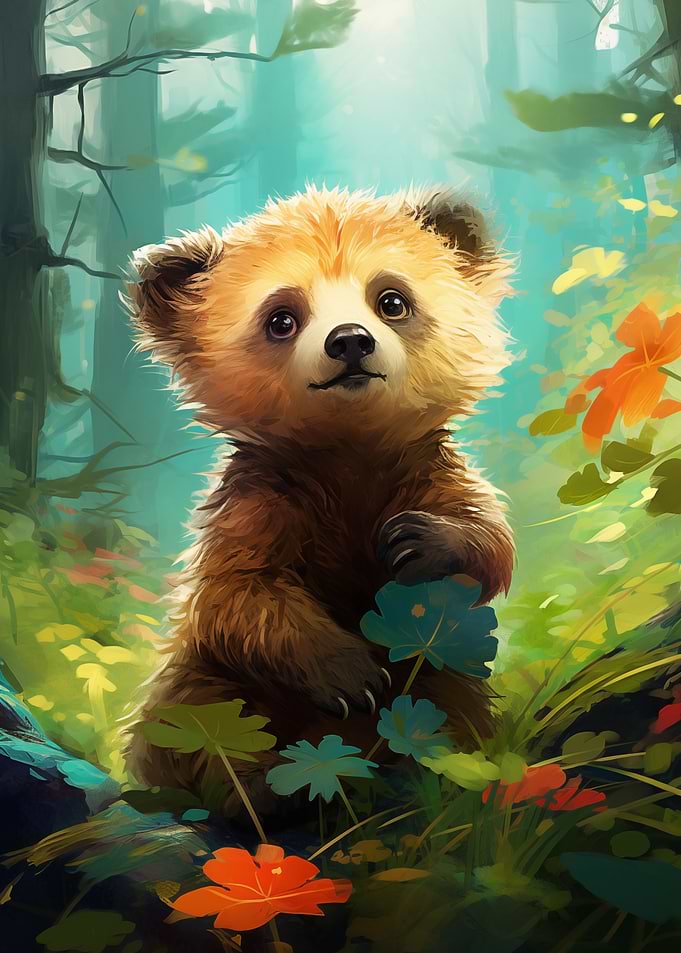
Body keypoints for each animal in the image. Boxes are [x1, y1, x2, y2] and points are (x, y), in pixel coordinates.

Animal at [123, 185, 515, 818]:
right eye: (282, 317)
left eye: (391, 299)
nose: (349, 341)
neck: (348, 455)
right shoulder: (262, 501)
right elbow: (238, 597)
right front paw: (350, 672)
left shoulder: (430, 472)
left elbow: (490, 544)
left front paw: (421, 541)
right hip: (206, 686)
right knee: (200, 726)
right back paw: (269, 788)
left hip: (446, 676)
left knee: (452, 708)